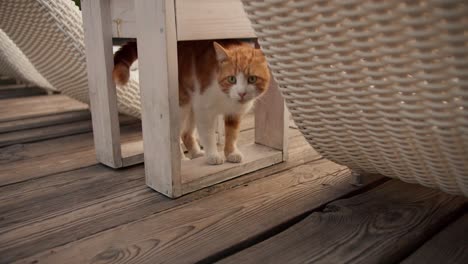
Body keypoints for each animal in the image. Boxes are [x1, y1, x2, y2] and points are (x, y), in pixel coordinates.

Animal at [113, 40, 270, 164]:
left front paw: (231, 153)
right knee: (176, 136)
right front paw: (213, 155)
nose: (242, 93)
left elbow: (232, 134)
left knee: (186, 133)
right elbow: (208, 135)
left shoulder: (234, 114)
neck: (226, 98)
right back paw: (181, 159)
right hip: (182, 106)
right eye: (232, 79)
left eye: (252, 79)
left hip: (192, 107)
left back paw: (196, 153)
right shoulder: (205, 110)